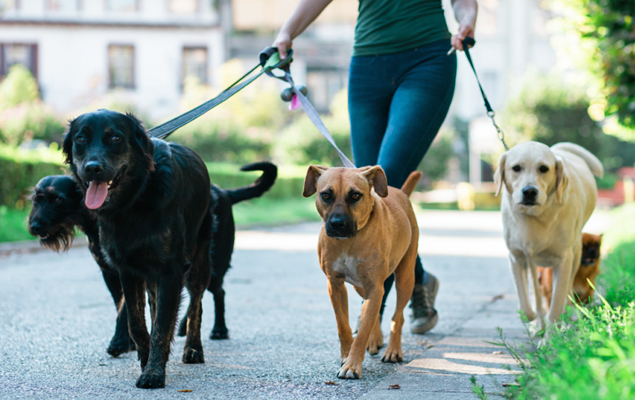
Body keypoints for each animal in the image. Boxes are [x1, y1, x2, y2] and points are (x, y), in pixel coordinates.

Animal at [29, 175, 136, 356]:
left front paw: (120, 341)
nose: (34, 227)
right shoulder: (108, 273)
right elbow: (120, 304)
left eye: (58, 199)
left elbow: (124, 308)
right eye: (36, 199)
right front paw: (130, 341)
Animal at [64, 109, 214, 388]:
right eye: (80, 138)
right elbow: (137, 322)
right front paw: (147, 360)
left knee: (196, 304)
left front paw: (154, 372)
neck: (134, 200)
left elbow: (163, 326)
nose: (92, 168)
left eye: (115, 137)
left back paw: (193, 349)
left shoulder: (171, 271)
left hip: (199, 262)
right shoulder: (128, 270)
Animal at [304, 165, 422, 378]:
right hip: (361, 287)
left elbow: (364, 329)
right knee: (373, 310)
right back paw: (375, 339)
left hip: (406, 277)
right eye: (325, 195)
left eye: (355, 195)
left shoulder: (374, 286)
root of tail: (401, 193)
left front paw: (352, 365)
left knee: (397, 316)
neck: (349, 241)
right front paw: (346, 354)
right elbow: (343, 324)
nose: (337, 223)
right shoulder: (335, 284)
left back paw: (393, 350)